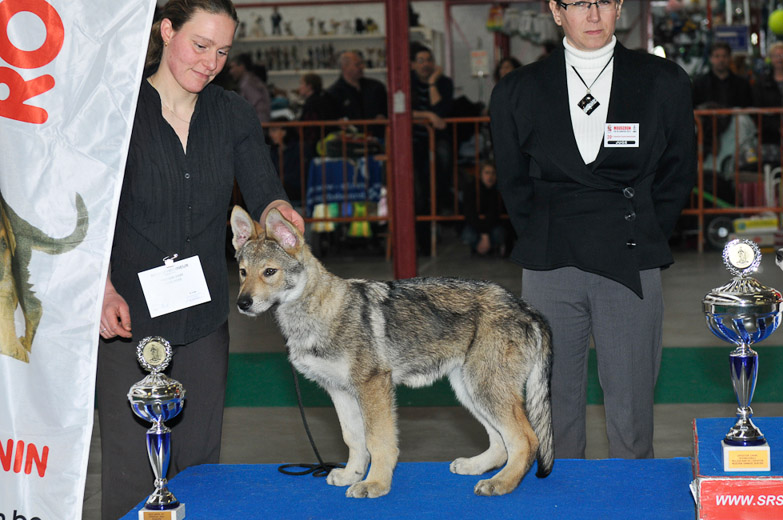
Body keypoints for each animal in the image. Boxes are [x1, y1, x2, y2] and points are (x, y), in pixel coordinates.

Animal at [230, 205, 556, 498]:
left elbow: (378, 441)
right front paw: (352, 475)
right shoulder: (340, 392)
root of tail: (527, 308)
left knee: (526, 440)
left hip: (485, 389)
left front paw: (375, 484)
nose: (242, 303)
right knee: (500, 442)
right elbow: (354, 439)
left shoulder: (373, 387)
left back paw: (502, 484)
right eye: (243, 272)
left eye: (269, 272)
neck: (318, 314)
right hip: (470, 390)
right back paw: (478, 469)